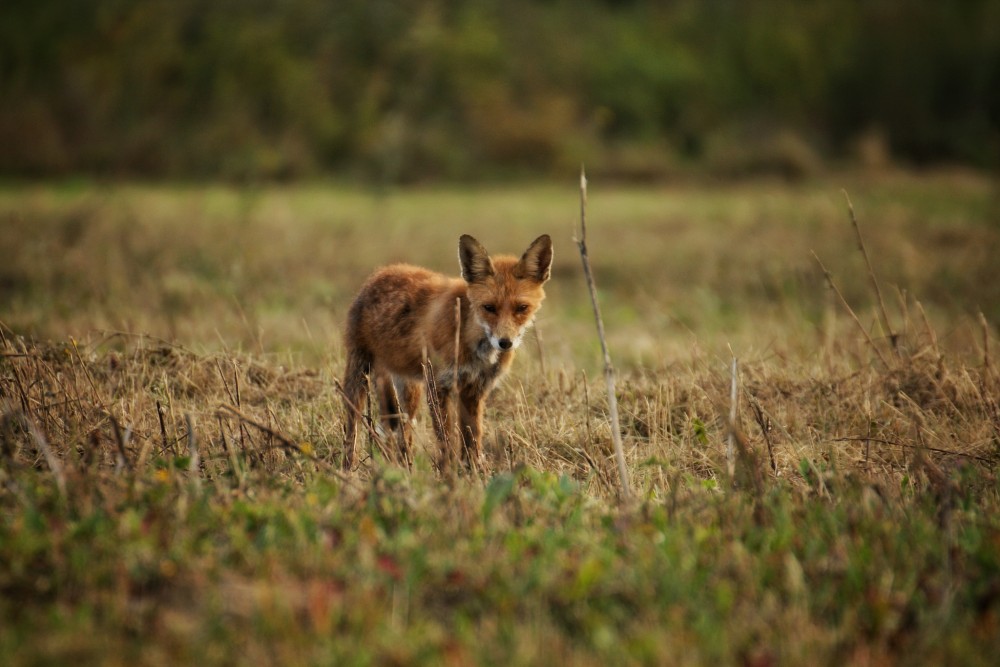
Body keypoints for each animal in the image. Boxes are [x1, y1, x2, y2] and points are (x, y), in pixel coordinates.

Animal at [340, 234, 552, 470]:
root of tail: (381, 272)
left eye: (521, 308)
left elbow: (472, 439)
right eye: (489, 308)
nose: (505, 343)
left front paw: (474, 472)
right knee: (352, 428)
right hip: (359, 375)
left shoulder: (474, 390)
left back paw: (406, 467)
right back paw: (348, 468)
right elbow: (445, 439)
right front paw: (448, 472)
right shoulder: (438, 385)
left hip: (409, 391)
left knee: (404, 434)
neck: (472, 342)